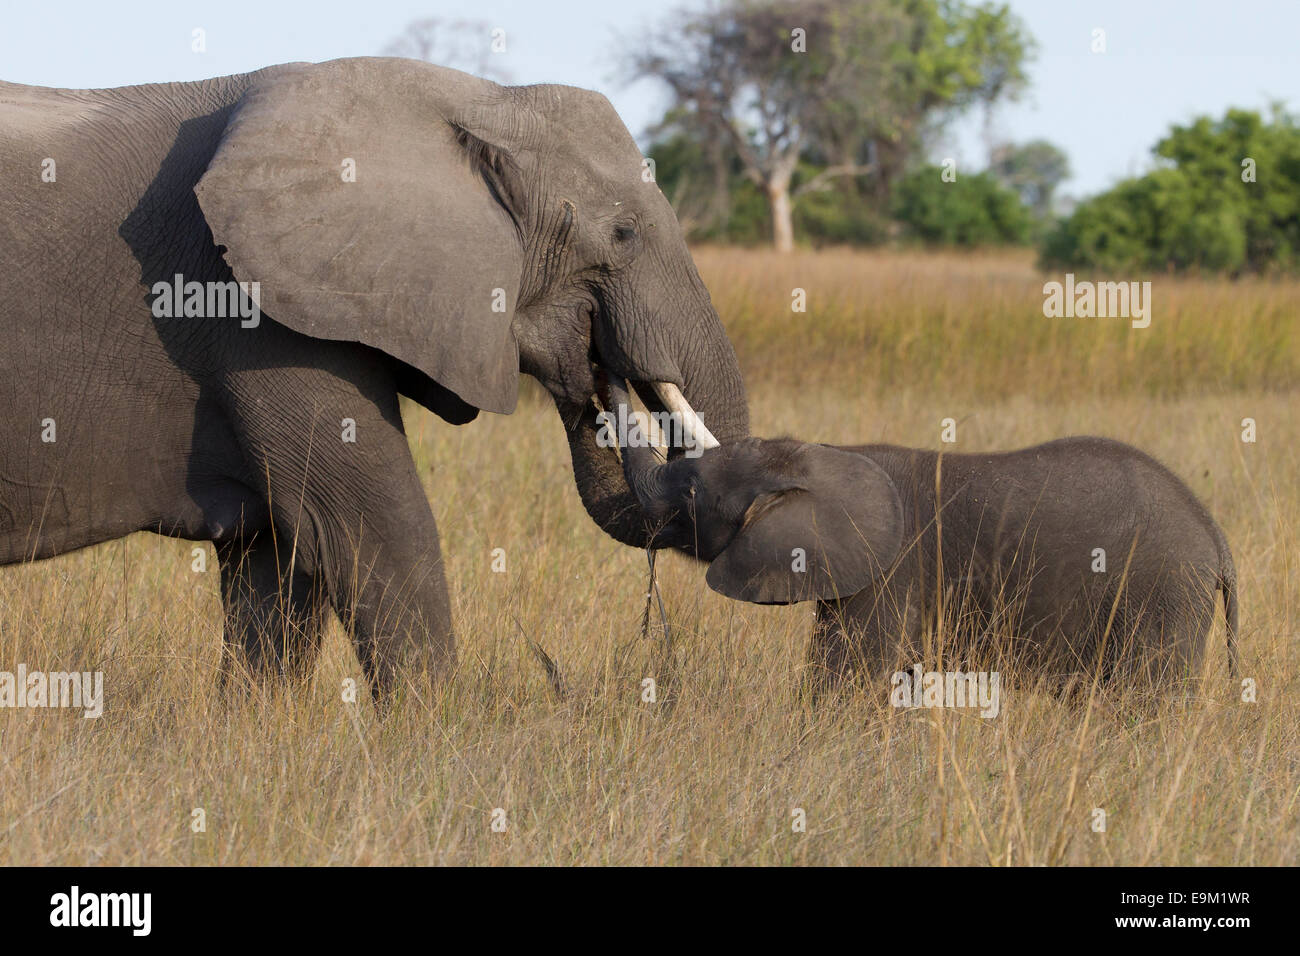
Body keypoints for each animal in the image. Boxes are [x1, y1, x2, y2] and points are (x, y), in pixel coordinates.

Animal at [0, 58, 747, 697]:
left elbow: (277, 561)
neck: (475, 101)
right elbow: (374, 530)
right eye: (623, 235)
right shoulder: (259, 316)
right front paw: (437, 740)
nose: (599, 369)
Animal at [605, 379, 1237, 696]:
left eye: (692, 494)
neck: (817, 457)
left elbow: (845, 680)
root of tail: (1216, 535)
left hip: (1164, 593)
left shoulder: (888, 573)